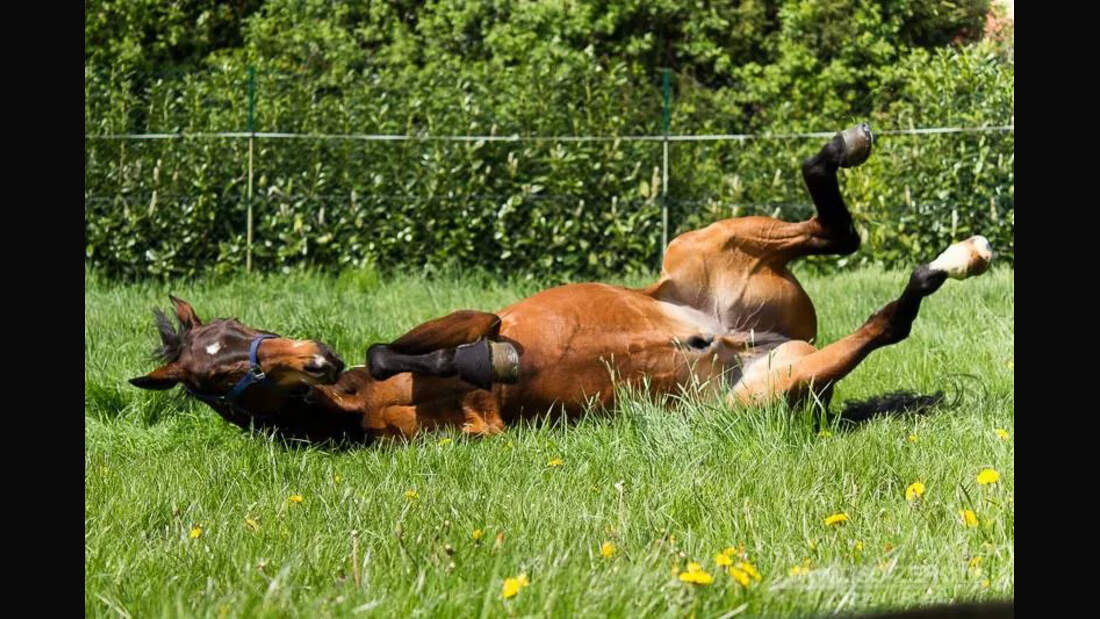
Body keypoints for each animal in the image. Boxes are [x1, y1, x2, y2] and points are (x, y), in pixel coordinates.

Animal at [130, 125, 998, 444]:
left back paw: (846, 150)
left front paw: (487, 359)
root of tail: (763, 340)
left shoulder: (472, 313)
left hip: (705, 242)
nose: (314, 358)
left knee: (835, 231)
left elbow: (393, 346)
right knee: (887, 316)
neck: (365, 404)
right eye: (213, 374)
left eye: (238, 330)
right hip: (773, 388)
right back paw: (955, 258)